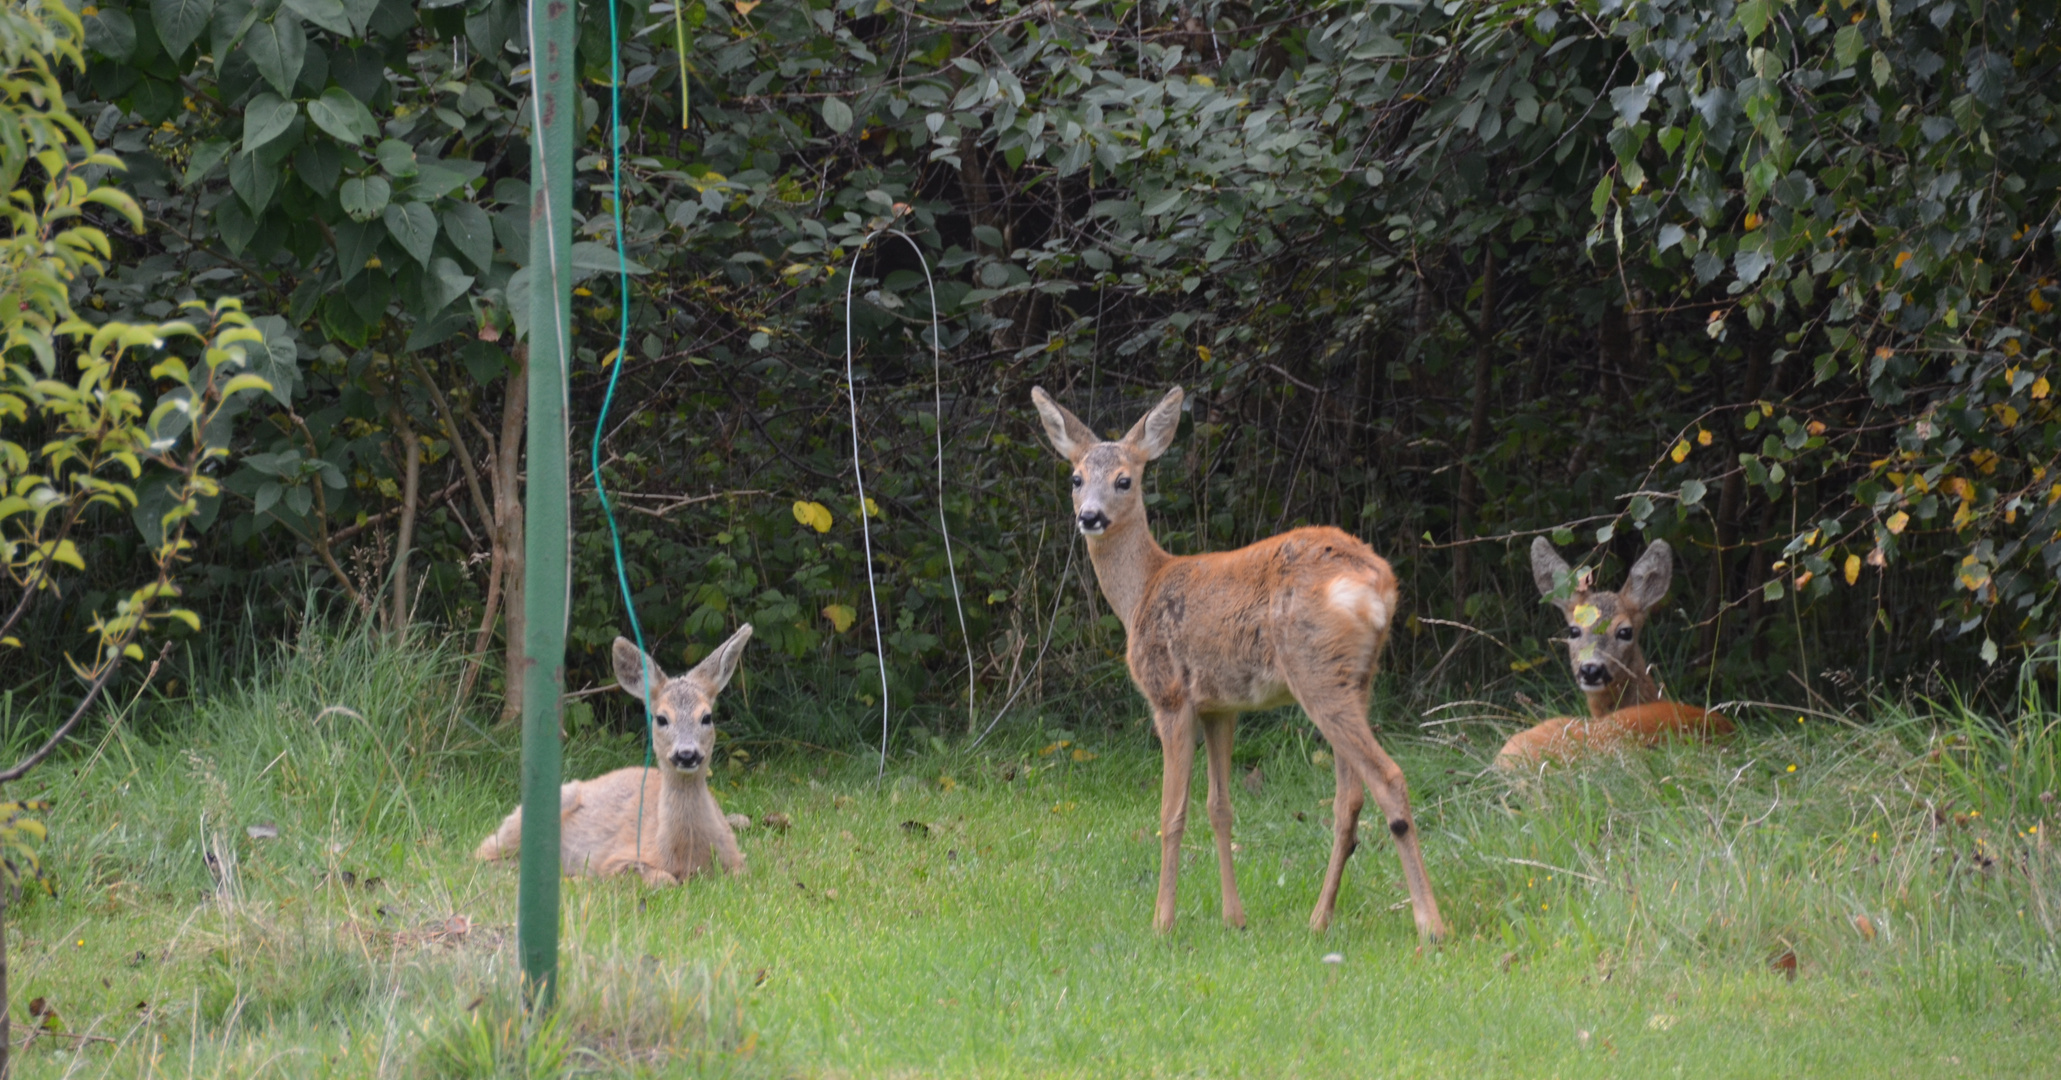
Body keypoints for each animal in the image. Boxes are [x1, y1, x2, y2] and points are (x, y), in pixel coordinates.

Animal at [471, 618, 750, 882]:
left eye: (707, 717)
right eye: (661, 718)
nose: (687, 754)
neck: (688, 855)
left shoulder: (738, 862)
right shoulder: (615, 859)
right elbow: (662, 879)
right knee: (483, 853)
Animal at [1030, 383, 1450, 939]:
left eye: (1125, 479)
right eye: (1076, 478)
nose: (1090, 517)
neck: (1141, 592)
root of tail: (1379, 585)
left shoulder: (1170, 695)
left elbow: (1172, 813)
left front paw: (1162, 923)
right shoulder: (1220, 707)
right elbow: (1220, 807)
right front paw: (1235, 918)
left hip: (1315, 671)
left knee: (1389, 779)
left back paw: (1430, 924)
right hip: (1359, 678)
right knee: (1348, 799)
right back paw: (1319, 918)